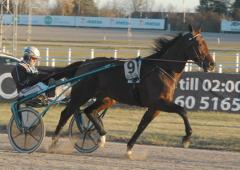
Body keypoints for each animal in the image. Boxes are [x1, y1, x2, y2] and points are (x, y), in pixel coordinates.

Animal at [51, 24, 215, 157]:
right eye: (199, 44)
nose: (211, 64)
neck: (162, 69)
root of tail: (85, 63)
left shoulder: (155, 107)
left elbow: (142, 126)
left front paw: (129, 150)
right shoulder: (160, 102)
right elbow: (183, 111)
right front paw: (186, 138)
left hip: (107, 98)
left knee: (89, 111)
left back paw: (101, 137)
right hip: (82, 94)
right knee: (66, 113)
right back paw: (53, 143)